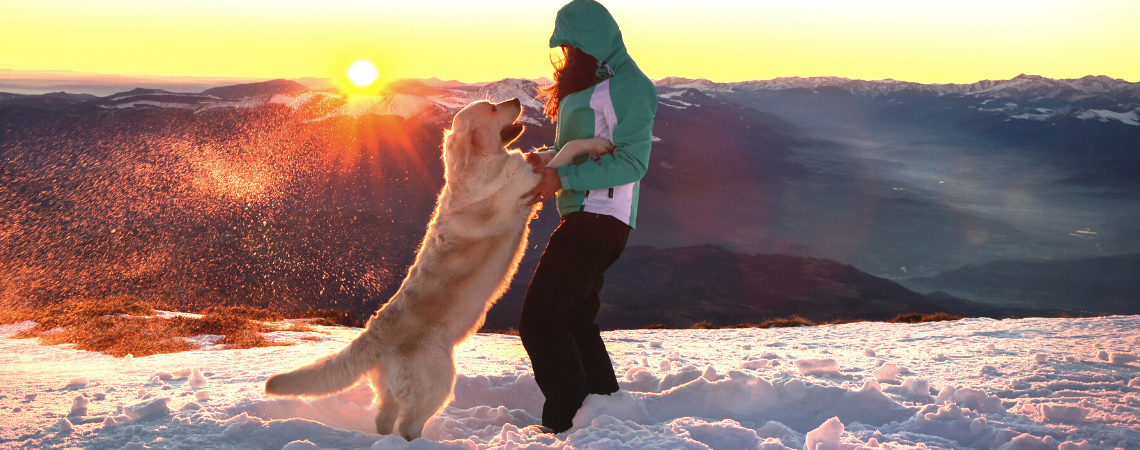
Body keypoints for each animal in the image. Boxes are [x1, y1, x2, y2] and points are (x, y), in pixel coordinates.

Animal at [265, 98, 615, 439]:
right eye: (491, 108)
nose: (516, 99)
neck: (478, 165)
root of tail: (374, 335)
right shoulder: (528, 185)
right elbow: (567, 151)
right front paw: (598, 143)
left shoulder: (531, 167)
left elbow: (551, 151)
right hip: (439, 381)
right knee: (408, 426)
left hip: (392, 389)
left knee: (384, 419)